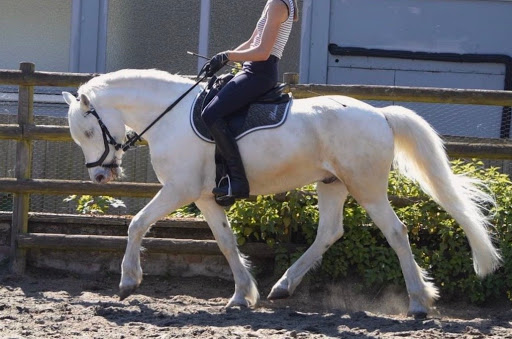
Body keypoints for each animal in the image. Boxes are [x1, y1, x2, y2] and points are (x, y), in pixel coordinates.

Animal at [63, 69, 500, 318]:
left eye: (87, 131)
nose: (99, 177)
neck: (169, 117)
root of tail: (380, 114)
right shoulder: (203, 197)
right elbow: (225, 242)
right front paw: (242, 296)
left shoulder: (179, 189)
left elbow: (136, 224)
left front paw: (128, 282)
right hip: (332, 184)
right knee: (330, 232)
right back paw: (283, 287)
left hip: (367, 186)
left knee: (396, 233)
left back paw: (418, 302)